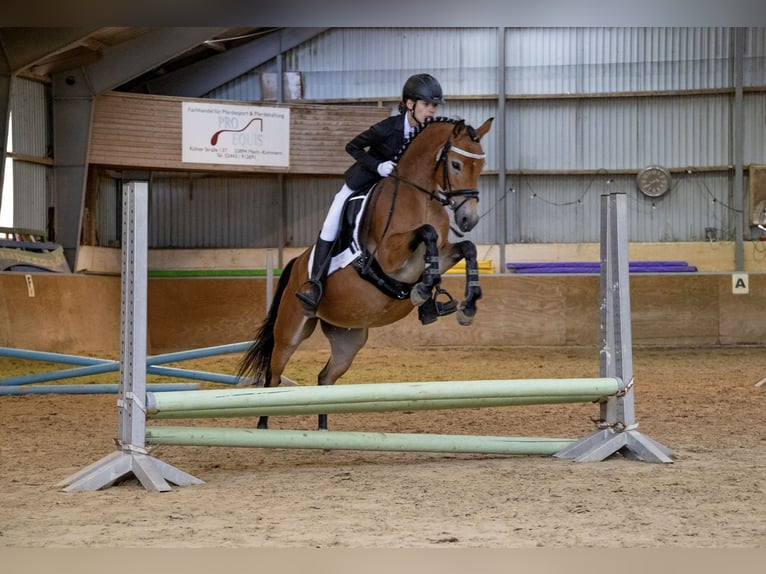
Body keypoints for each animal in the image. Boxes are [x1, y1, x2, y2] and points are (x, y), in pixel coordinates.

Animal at [237, 116, 496, 432]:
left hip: (348, 339)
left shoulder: (442, 253)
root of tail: (297, 262)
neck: (419, 197)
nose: (468, 219)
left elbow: (466, 248)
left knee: (325, 378)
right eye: (456, 165)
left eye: (481, 166)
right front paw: (425, 291)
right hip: (291, 330)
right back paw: (262, 426)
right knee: (273, 376)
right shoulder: (388, 256)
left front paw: (464, 305)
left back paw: (323, 431)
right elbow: (427, 232)